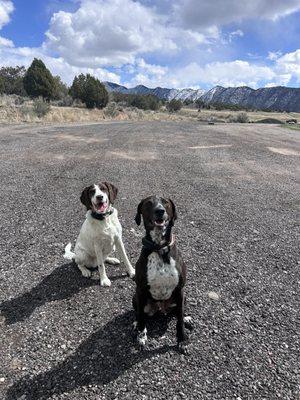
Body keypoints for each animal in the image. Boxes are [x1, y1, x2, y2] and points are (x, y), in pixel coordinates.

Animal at [133, 196, 192, 354]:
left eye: (165, 202)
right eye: (148, 203)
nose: (160, 211)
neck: (159, 248)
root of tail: (161, 308)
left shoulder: (180, 290)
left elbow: (179, 319)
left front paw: (182, 340)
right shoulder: (140, 290)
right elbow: (142, 319)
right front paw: (141, 336)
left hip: (183, 297)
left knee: (178, 312)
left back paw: (186, 318)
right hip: (135, 298)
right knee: (140, 313)